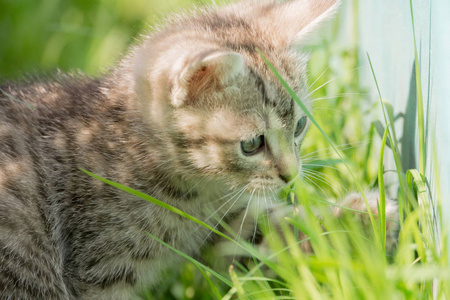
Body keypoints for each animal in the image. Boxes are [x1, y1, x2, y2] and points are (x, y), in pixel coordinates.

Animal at [0, 0, 396, 298]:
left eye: (299, 126)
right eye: (251, 144)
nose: (291, 174)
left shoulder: (221, 222)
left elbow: (269, 234)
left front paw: (361, 219)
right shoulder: (96, 268)